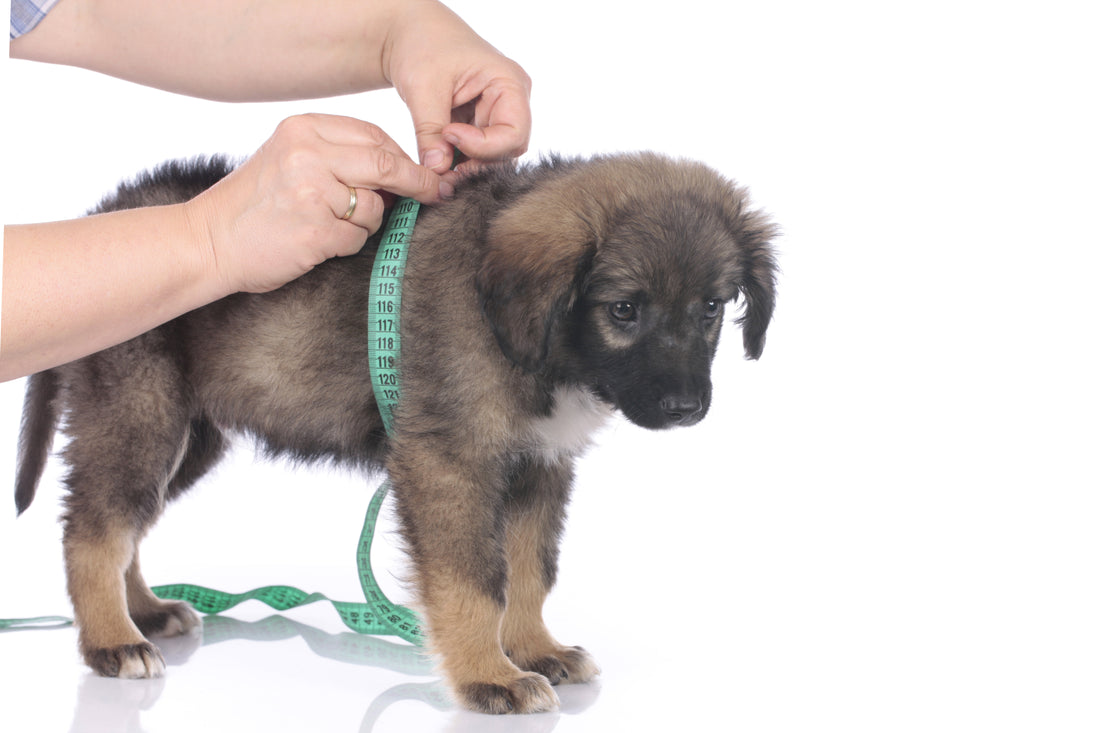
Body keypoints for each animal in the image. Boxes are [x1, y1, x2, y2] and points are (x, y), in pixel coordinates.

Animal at [12, 152, 778, 708]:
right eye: (624, 310)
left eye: (712, 307)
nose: (685, 407)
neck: (535, 339)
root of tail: (103, 211)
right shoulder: (449, 462)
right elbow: (475, 580)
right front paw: (488, 675)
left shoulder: (539, 463)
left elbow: (531, 570)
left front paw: (535, 649)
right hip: (141, 414)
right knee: (94, 529)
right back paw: (112, 641)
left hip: (190, 436)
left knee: (126, 526)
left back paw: (143, 612)